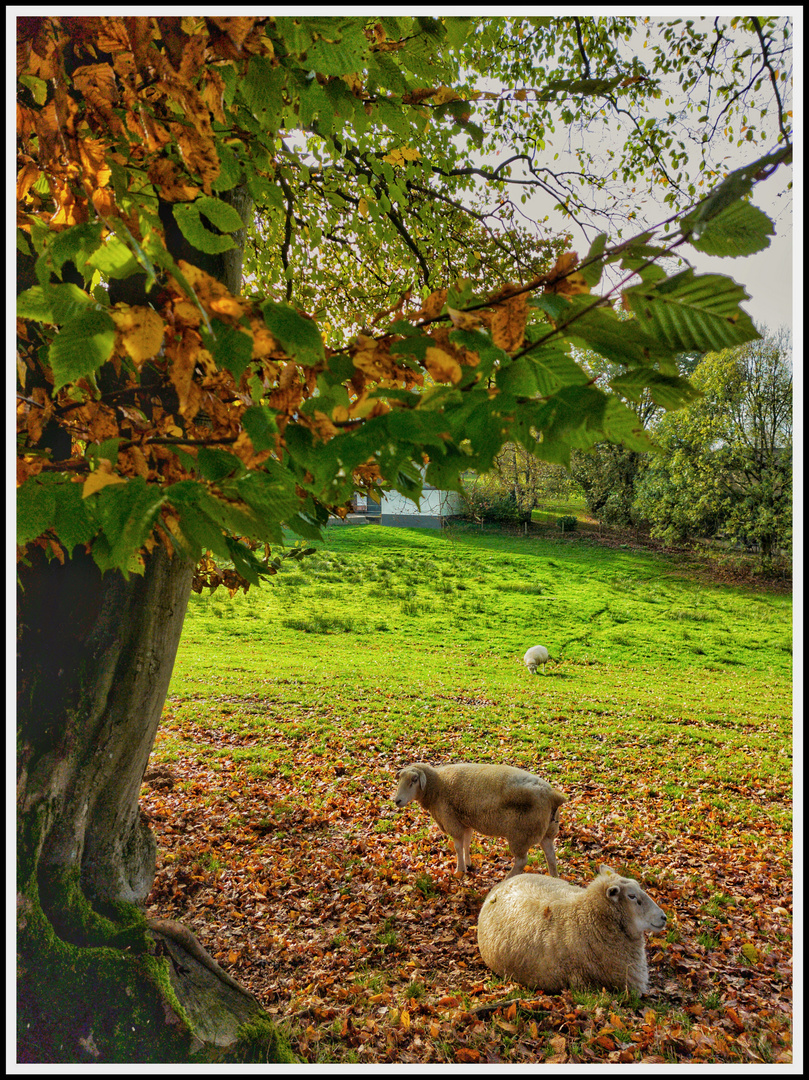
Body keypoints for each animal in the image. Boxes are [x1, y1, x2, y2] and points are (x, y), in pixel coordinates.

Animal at [388, 764, 565, 881]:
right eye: (399, 780)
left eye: (414, 780)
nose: (397, 801)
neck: (436, 786)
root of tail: (553, 796)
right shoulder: (464, 821)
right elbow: (467, 843)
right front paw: (468, 864)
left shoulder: (452, 821)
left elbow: (458, 847)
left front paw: (459, 870)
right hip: (548, 831)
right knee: (551, 856)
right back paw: (555, 879)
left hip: (521, 834)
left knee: (522, 861)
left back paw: (506, 880)